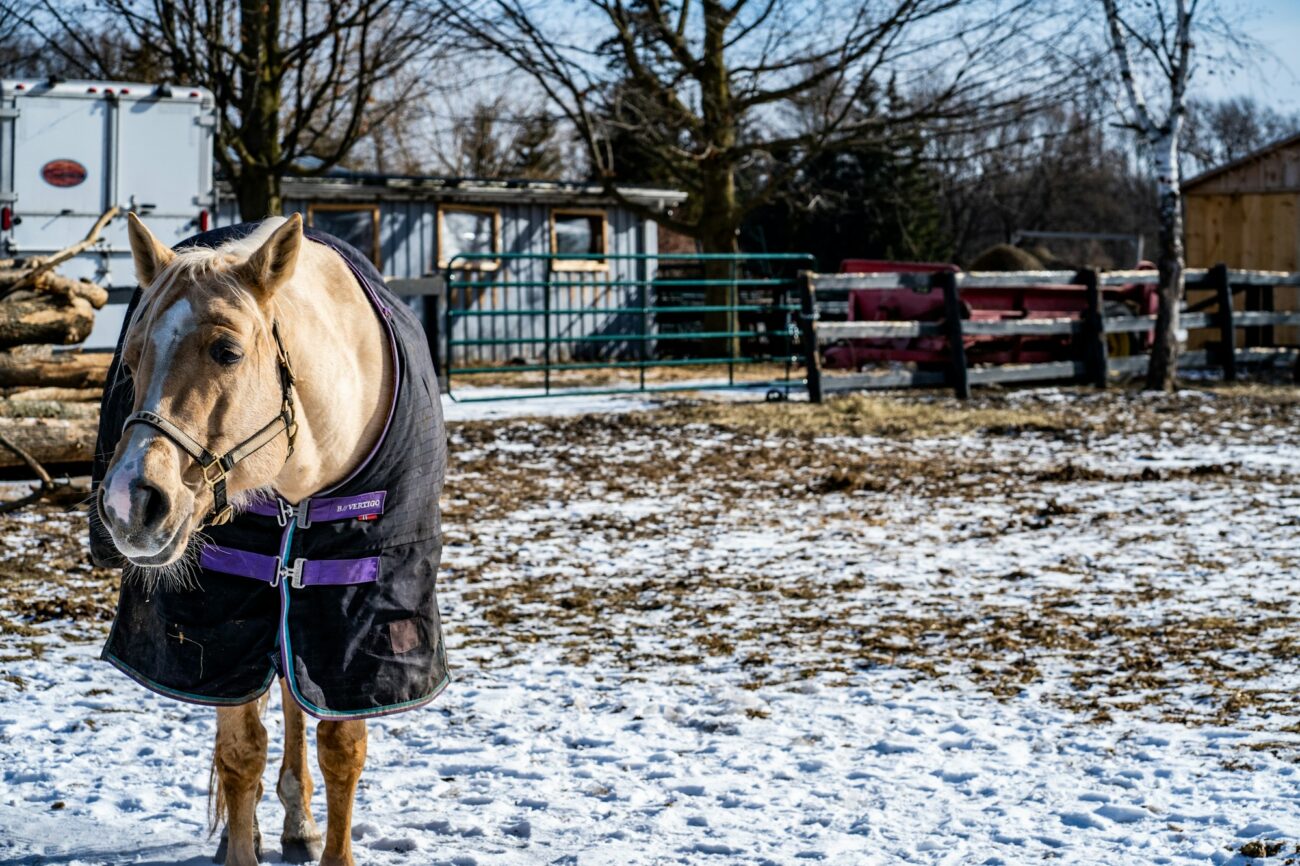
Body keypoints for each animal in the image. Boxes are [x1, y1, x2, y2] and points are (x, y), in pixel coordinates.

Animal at [92, 213, 448, 866]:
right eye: (130, 357)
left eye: (227, 351)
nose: (129, 500)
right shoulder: (225, 605)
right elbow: (239, 751)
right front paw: (239, 843)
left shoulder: (354, 613)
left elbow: (339, 747)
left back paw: (298, 822)